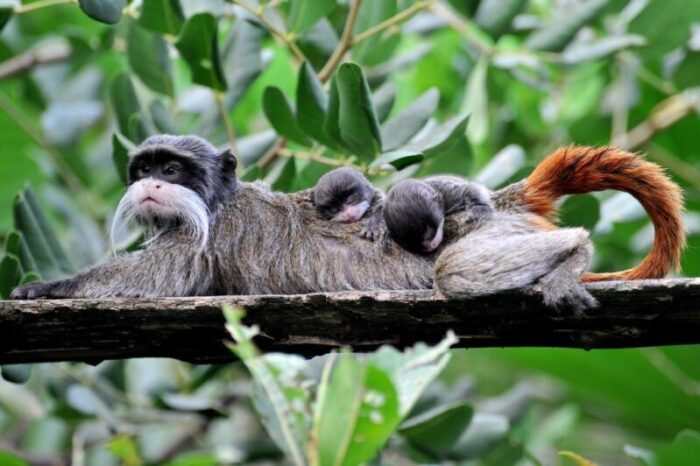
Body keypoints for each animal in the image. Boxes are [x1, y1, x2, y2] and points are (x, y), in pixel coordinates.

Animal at [10, 135, 688, 314]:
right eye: (144, 168)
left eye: (171, 169)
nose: (152, 185)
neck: (218, 198)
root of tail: (505, 201)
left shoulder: (205, 237)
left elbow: (152, 282)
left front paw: (45, 288)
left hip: (490, 232)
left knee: (456, 271)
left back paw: (572, 254)